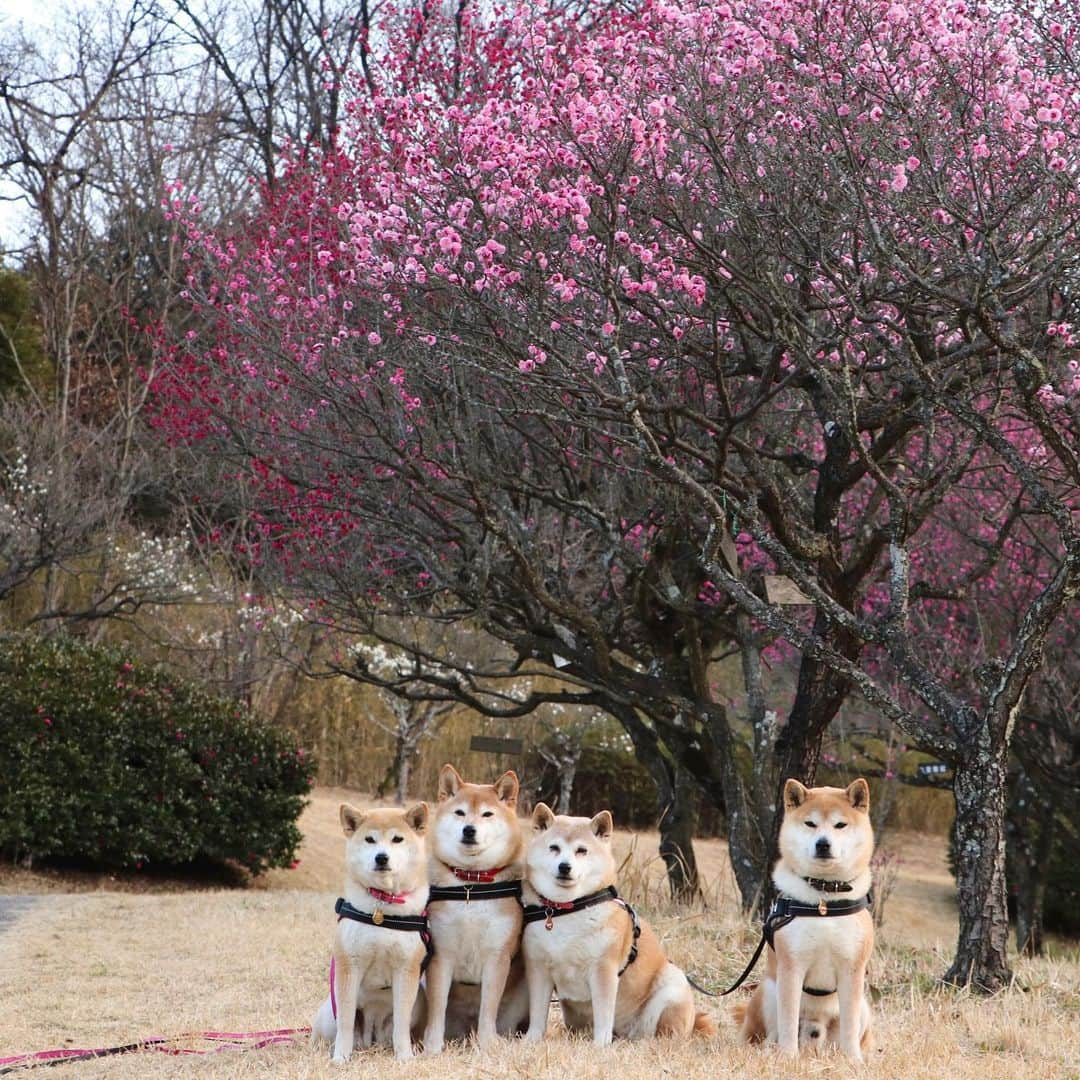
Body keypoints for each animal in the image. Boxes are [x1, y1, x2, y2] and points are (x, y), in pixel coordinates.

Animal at [311, 807, 427, 1058]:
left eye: (397, 839)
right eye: (370, 839)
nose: (381, 857)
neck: (381, 909)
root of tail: (370, 1038)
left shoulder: (406, 968)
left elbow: (401, 1023)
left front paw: (405, 1057)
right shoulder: (348, 966)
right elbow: (345, 1022)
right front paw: (340, 1058)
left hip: (420, 1001)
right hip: (329, 1013)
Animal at [421, 768, 531, 1054]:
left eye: (487, 814)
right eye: (460, 812)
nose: (469, 830)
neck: (472, 883)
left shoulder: (497, 956)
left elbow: (488, 1008)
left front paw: (486, 1046)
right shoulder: (441, 955)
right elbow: (436, 1009)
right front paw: (432, 1048)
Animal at [522, 803, 717, 1045]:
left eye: (582, 850)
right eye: (554, 847)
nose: (564, 866)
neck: (568, 908)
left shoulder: (603, 970)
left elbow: (604, 1014)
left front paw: (600, 1045)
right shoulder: (538, 968)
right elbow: (538, 1013)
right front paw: (530, 1040)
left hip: (673, 985)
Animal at [734, 781, 876, 1058]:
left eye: (840, 825)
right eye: (810, 823)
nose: (823, 844)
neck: (824, 900)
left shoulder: (852, 970)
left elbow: (850, 1024)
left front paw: (853, 1060)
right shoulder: (792, 965)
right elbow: (788, 1019)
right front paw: (788, 1057)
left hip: (864, 1007)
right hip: (768, 992)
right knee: (768, 1032)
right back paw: (769, 1049)